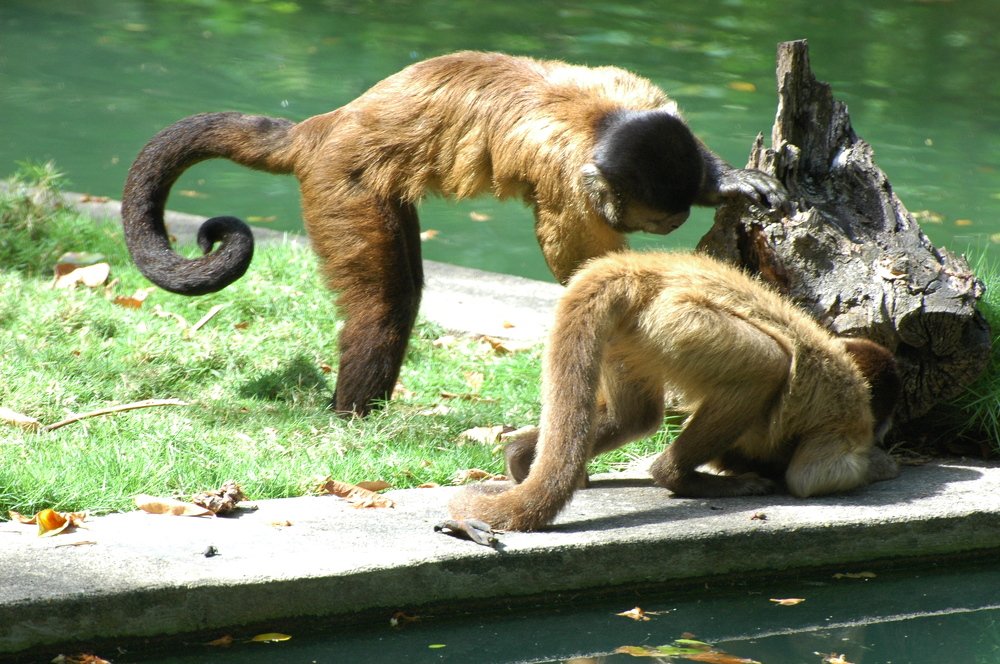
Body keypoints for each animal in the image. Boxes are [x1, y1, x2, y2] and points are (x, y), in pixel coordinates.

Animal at [121, 51, 786, 416]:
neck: (598, 120)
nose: (669, 223)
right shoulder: (565, 172)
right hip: (343, 179)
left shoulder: (640, 93)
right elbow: (571, 258)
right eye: (650, 221)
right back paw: (352, 416)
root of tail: (324, 126)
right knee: (386, 301)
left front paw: (724, 182)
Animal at [448, 251, 901, 532]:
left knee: (636, 418)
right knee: (766, 365)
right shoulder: (850, 415)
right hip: (682, 321)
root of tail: (647, 269)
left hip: (634, 334)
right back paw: (677, 476)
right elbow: (810, 478)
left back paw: (520, 453)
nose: (885, 433)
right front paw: (881, 466)